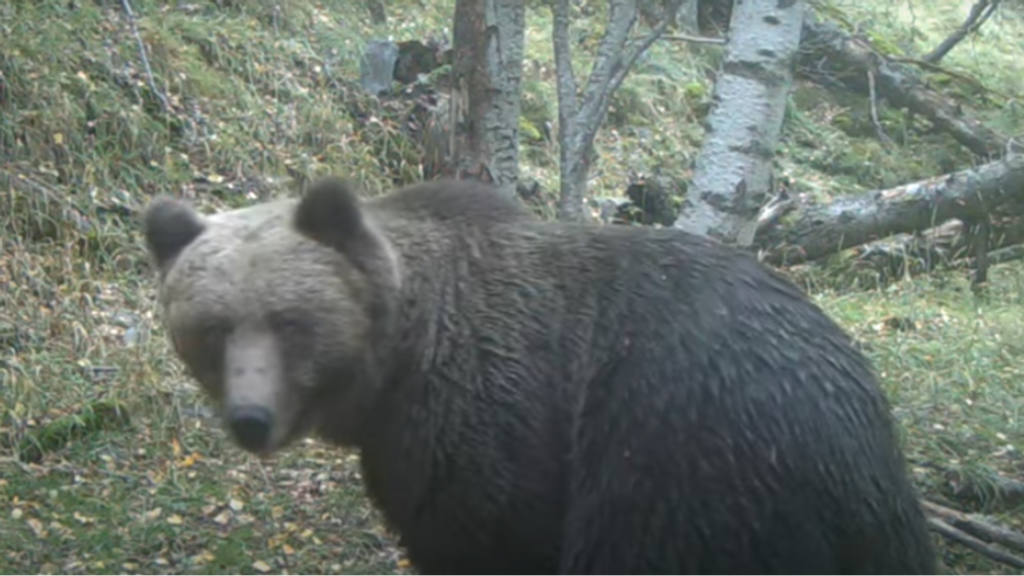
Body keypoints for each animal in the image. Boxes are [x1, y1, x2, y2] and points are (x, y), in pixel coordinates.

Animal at [142, 177, 937, 573]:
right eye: (212, 328)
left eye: (289, 321)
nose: (251, 418)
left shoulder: (488, 426)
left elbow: (491, 541)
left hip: (687, 462)